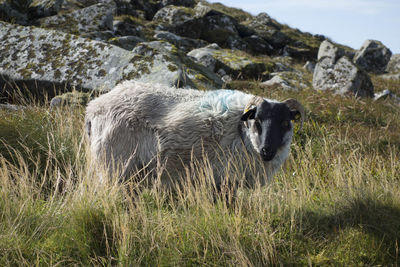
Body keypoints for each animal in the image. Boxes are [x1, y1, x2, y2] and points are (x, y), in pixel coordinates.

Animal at [84, 80, 304, 186]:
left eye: (285, 122)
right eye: (257, 120)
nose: (267, 150)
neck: (242, 134)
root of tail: (93, 108)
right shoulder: (223, 180)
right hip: (113, 165)